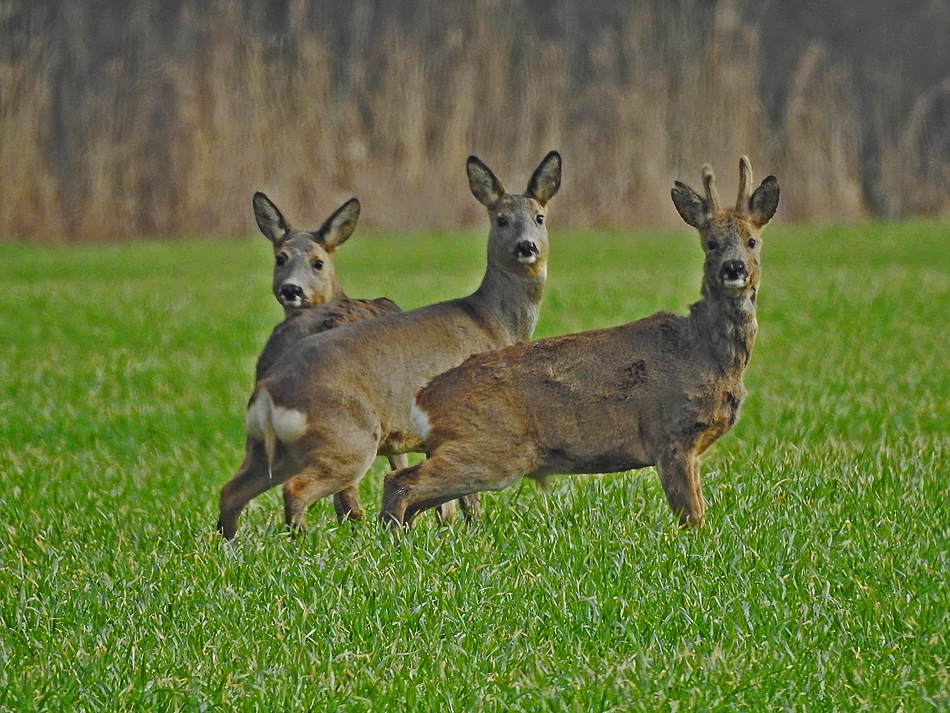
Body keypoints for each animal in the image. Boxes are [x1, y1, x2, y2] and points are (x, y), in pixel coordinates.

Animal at [219, 152, 560, 540]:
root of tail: (268, 387)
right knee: (299, 491)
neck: (491, 320)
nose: (526, 247)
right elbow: (464, 494)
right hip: (347, 437)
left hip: (270, 449)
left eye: (539, 217)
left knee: (231, 491)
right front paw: (472, 527)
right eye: (501, 219)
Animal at [380, 159, 780, 532]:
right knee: (399, 482)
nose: (733, 268)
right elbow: (692, 515)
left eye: (752, 241)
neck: (704, 352)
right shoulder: (670, 434)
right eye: (710, 243)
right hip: (489, 446)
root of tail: (424, 399)